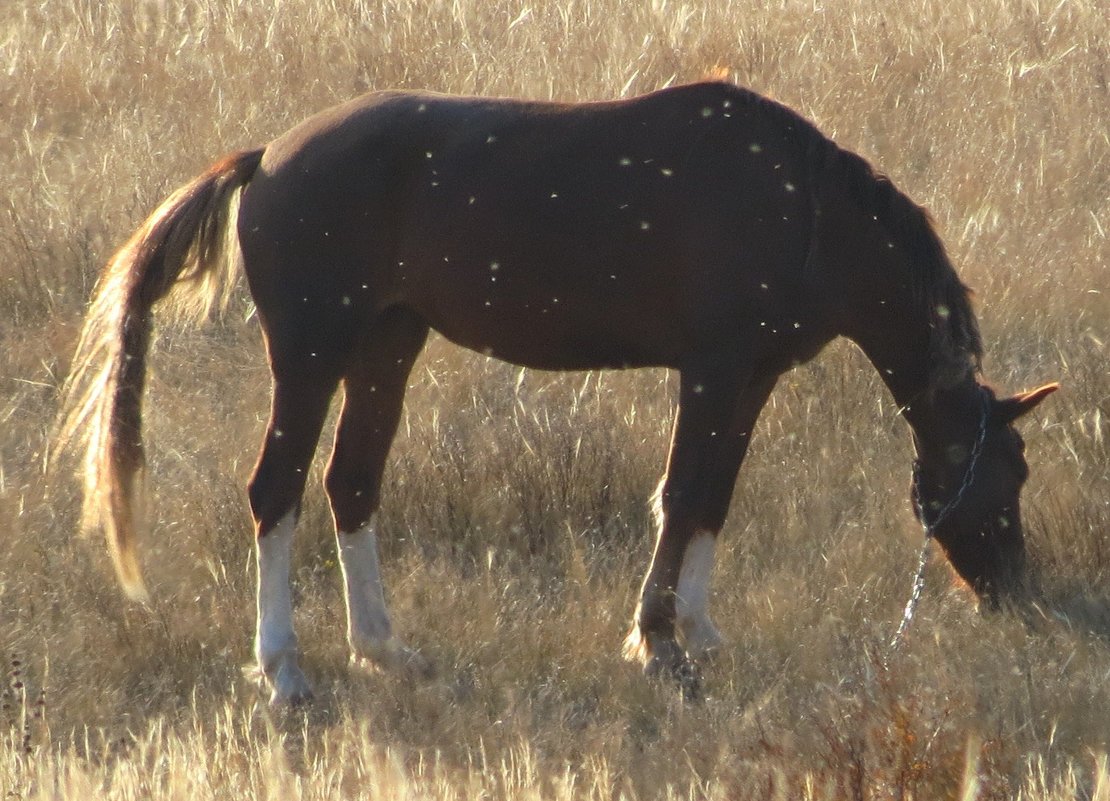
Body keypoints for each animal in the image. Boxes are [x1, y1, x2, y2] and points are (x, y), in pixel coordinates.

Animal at [58, 80, 1056, 701]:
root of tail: (266, 157)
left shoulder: (752, 378)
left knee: (352, 485)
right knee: (277, 492)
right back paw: (284, 671)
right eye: (1008, 480)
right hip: (310, 355)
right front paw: (658, 645)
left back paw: (384, 649)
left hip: (386, 346)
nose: (1013, 594)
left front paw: (700, 630)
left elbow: (715, 499)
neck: (805, 212)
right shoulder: (712, 371)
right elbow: (682, 495)